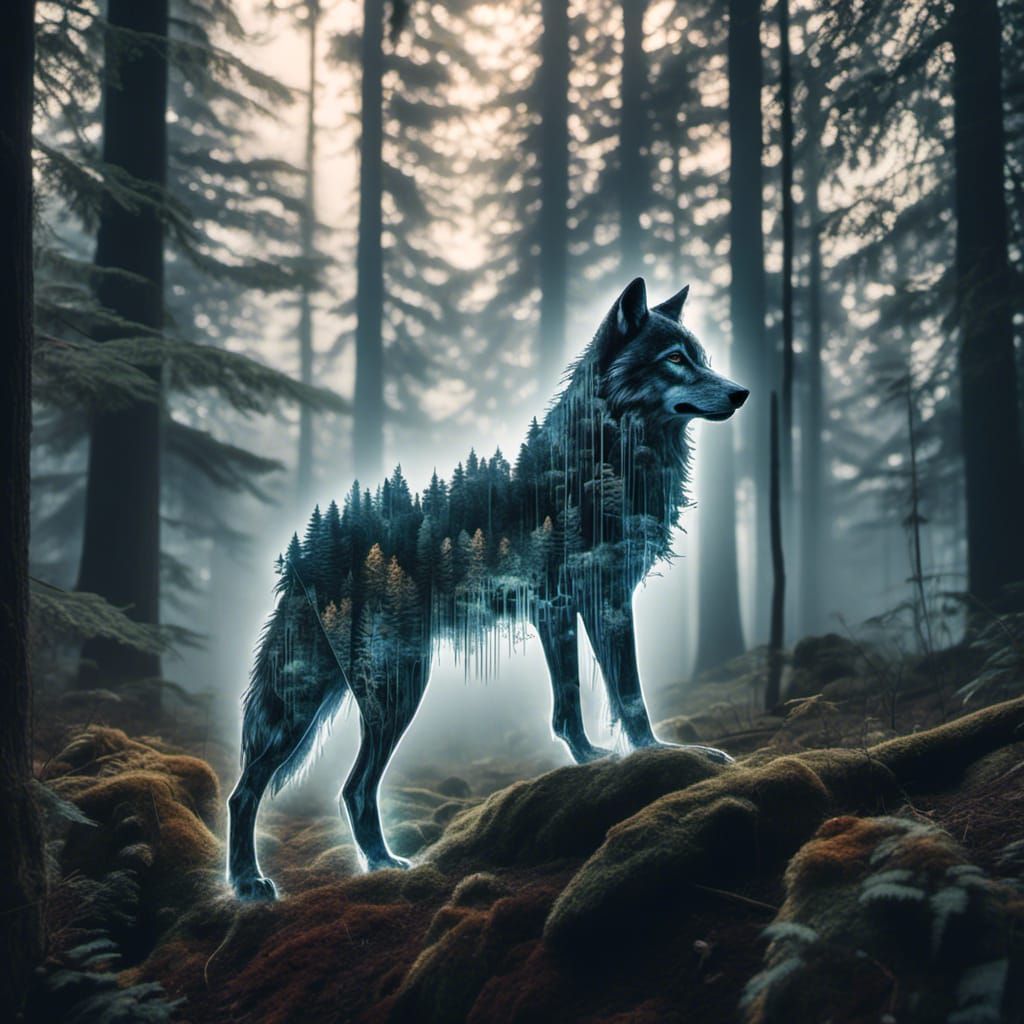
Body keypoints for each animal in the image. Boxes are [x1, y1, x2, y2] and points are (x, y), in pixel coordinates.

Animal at [227, 277, 748, 900]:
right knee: (338, 788)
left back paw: (272, 878)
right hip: (391, 685)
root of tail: (301, 560)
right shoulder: (604, 599)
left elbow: (569, 703)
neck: (606, 452)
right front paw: (661, 753)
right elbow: (630, 695)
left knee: (253, 789)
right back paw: (337, 871)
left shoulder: (556, 609)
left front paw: (590, 758)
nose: (742, 392)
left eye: (702, 358)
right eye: (675, 360)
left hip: (312, 698)